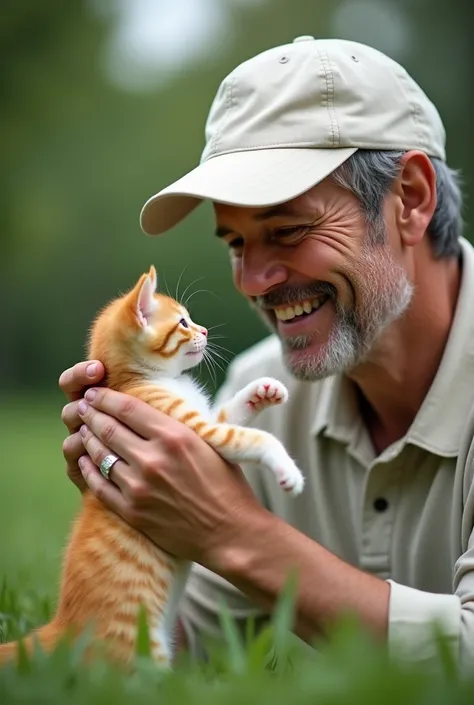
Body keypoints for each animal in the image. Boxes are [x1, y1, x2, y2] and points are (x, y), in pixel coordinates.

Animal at [0, 264, 304, 664]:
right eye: (183, 323)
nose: (205, 331)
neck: (141, 379)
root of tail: (59, 630)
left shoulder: (203, 421)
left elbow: (229, 413)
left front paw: (262, 390)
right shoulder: (196, 430)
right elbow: (251, 438)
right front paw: (288, 470)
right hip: (140, 650)